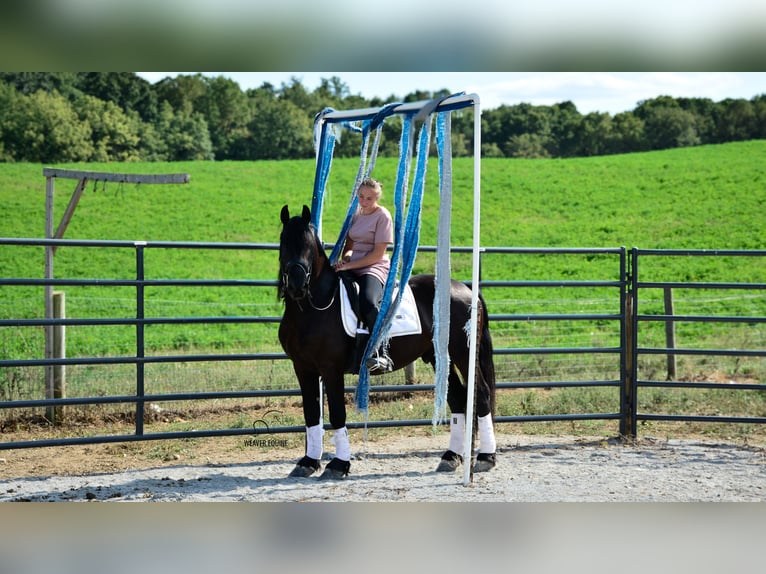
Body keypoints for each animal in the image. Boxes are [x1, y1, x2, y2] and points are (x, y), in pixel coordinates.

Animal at [278, 205, 497, 479]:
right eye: (284, 242)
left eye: (309, 245)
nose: (297, 285)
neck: (313, 307)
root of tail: (466, 289)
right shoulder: (303, 368)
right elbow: (311, 414)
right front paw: (308, 462)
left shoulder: (330, 369)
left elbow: (337, 414)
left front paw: (338, 465)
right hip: (439, 357)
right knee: (457, 399)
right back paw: (450, 457)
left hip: (463, 352)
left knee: (481, 395)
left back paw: (486, 457)